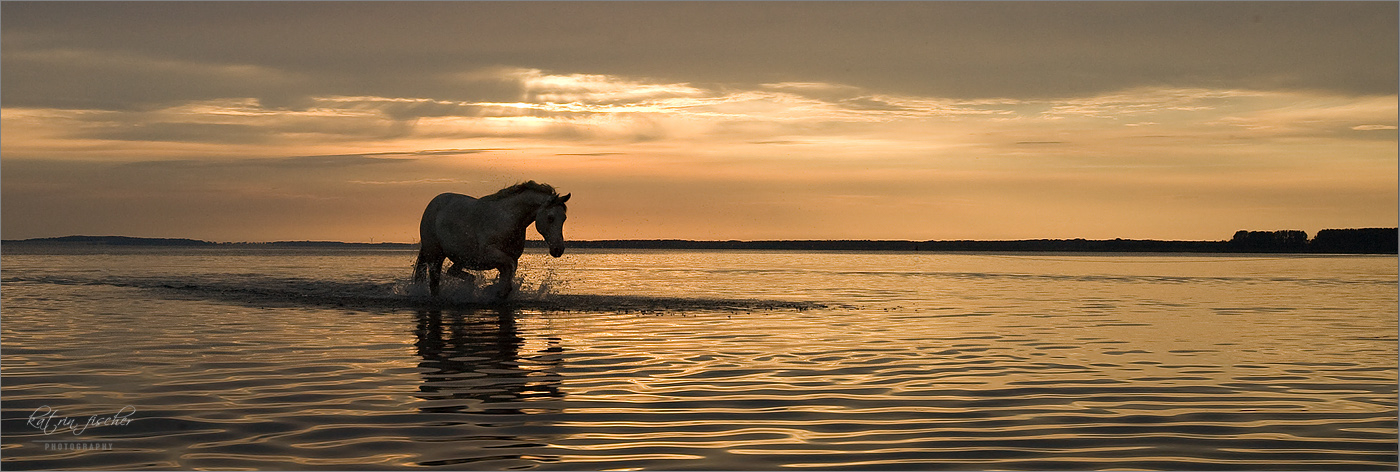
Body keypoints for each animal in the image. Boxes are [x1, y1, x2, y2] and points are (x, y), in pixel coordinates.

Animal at [408, 180, 568, 298]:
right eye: (550, 218)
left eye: (564, 218)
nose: (558, 249)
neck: (508, 219)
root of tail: (432, 205)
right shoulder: (491, 254)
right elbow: (507, 268)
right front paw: (499, 291)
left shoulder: (511, 258)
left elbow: (508, 272)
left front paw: (497, 290)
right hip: (435, 255)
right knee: (435, 282)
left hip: (461, 258)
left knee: (452, 272)